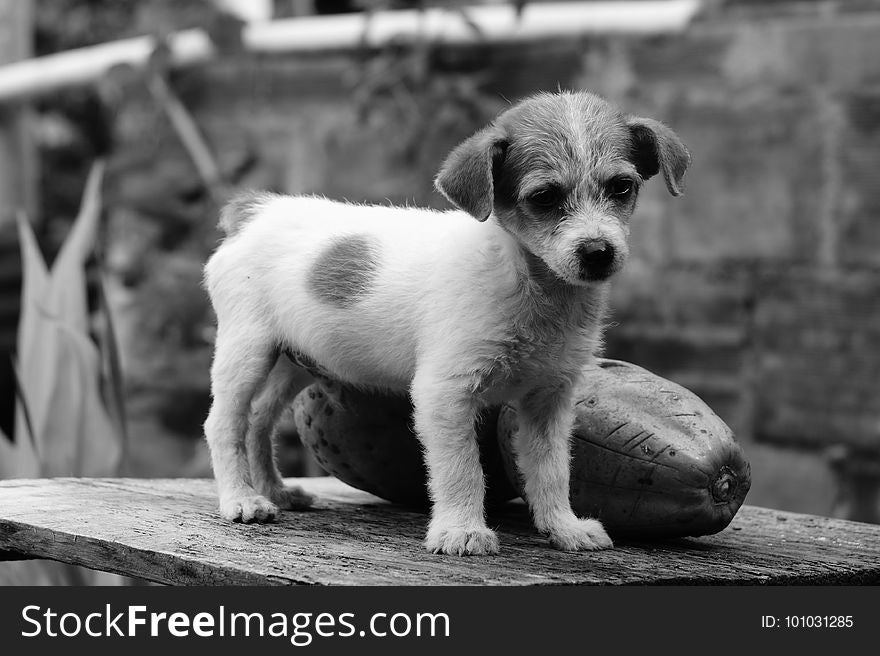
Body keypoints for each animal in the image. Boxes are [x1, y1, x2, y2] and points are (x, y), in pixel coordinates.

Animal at [205, 89, 688, 556]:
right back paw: (242, 500)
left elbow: (551, 470)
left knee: (258, 422)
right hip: (247, 351)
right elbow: (462, 469)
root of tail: (257, 209)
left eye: (621, 187)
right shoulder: (445, 392)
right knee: (225, 424)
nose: (598, 252)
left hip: (293, 361)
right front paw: (461, 530)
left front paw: (563, 527)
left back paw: (275, 491)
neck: (530, 284)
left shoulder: (549, 400)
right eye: (545, 197)